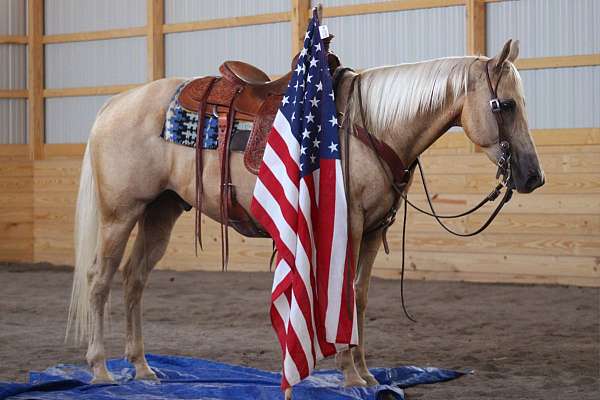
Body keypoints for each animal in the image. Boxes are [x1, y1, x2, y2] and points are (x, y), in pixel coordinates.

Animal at [67, 39, 544, 394]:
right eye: (505, 105)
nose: (533, 176)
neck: (369, 126)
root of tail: (115, 105)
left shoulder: (373, 231)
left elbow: (359, 296)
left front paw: (367, 374)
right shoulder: (348, 226)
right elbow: (341, 295)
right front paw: (350, 376)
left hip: (160, 211)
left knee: (134, 279)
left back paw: (142, 369)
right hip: (120, 213)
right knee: (100, 279)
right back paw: (101, 370)